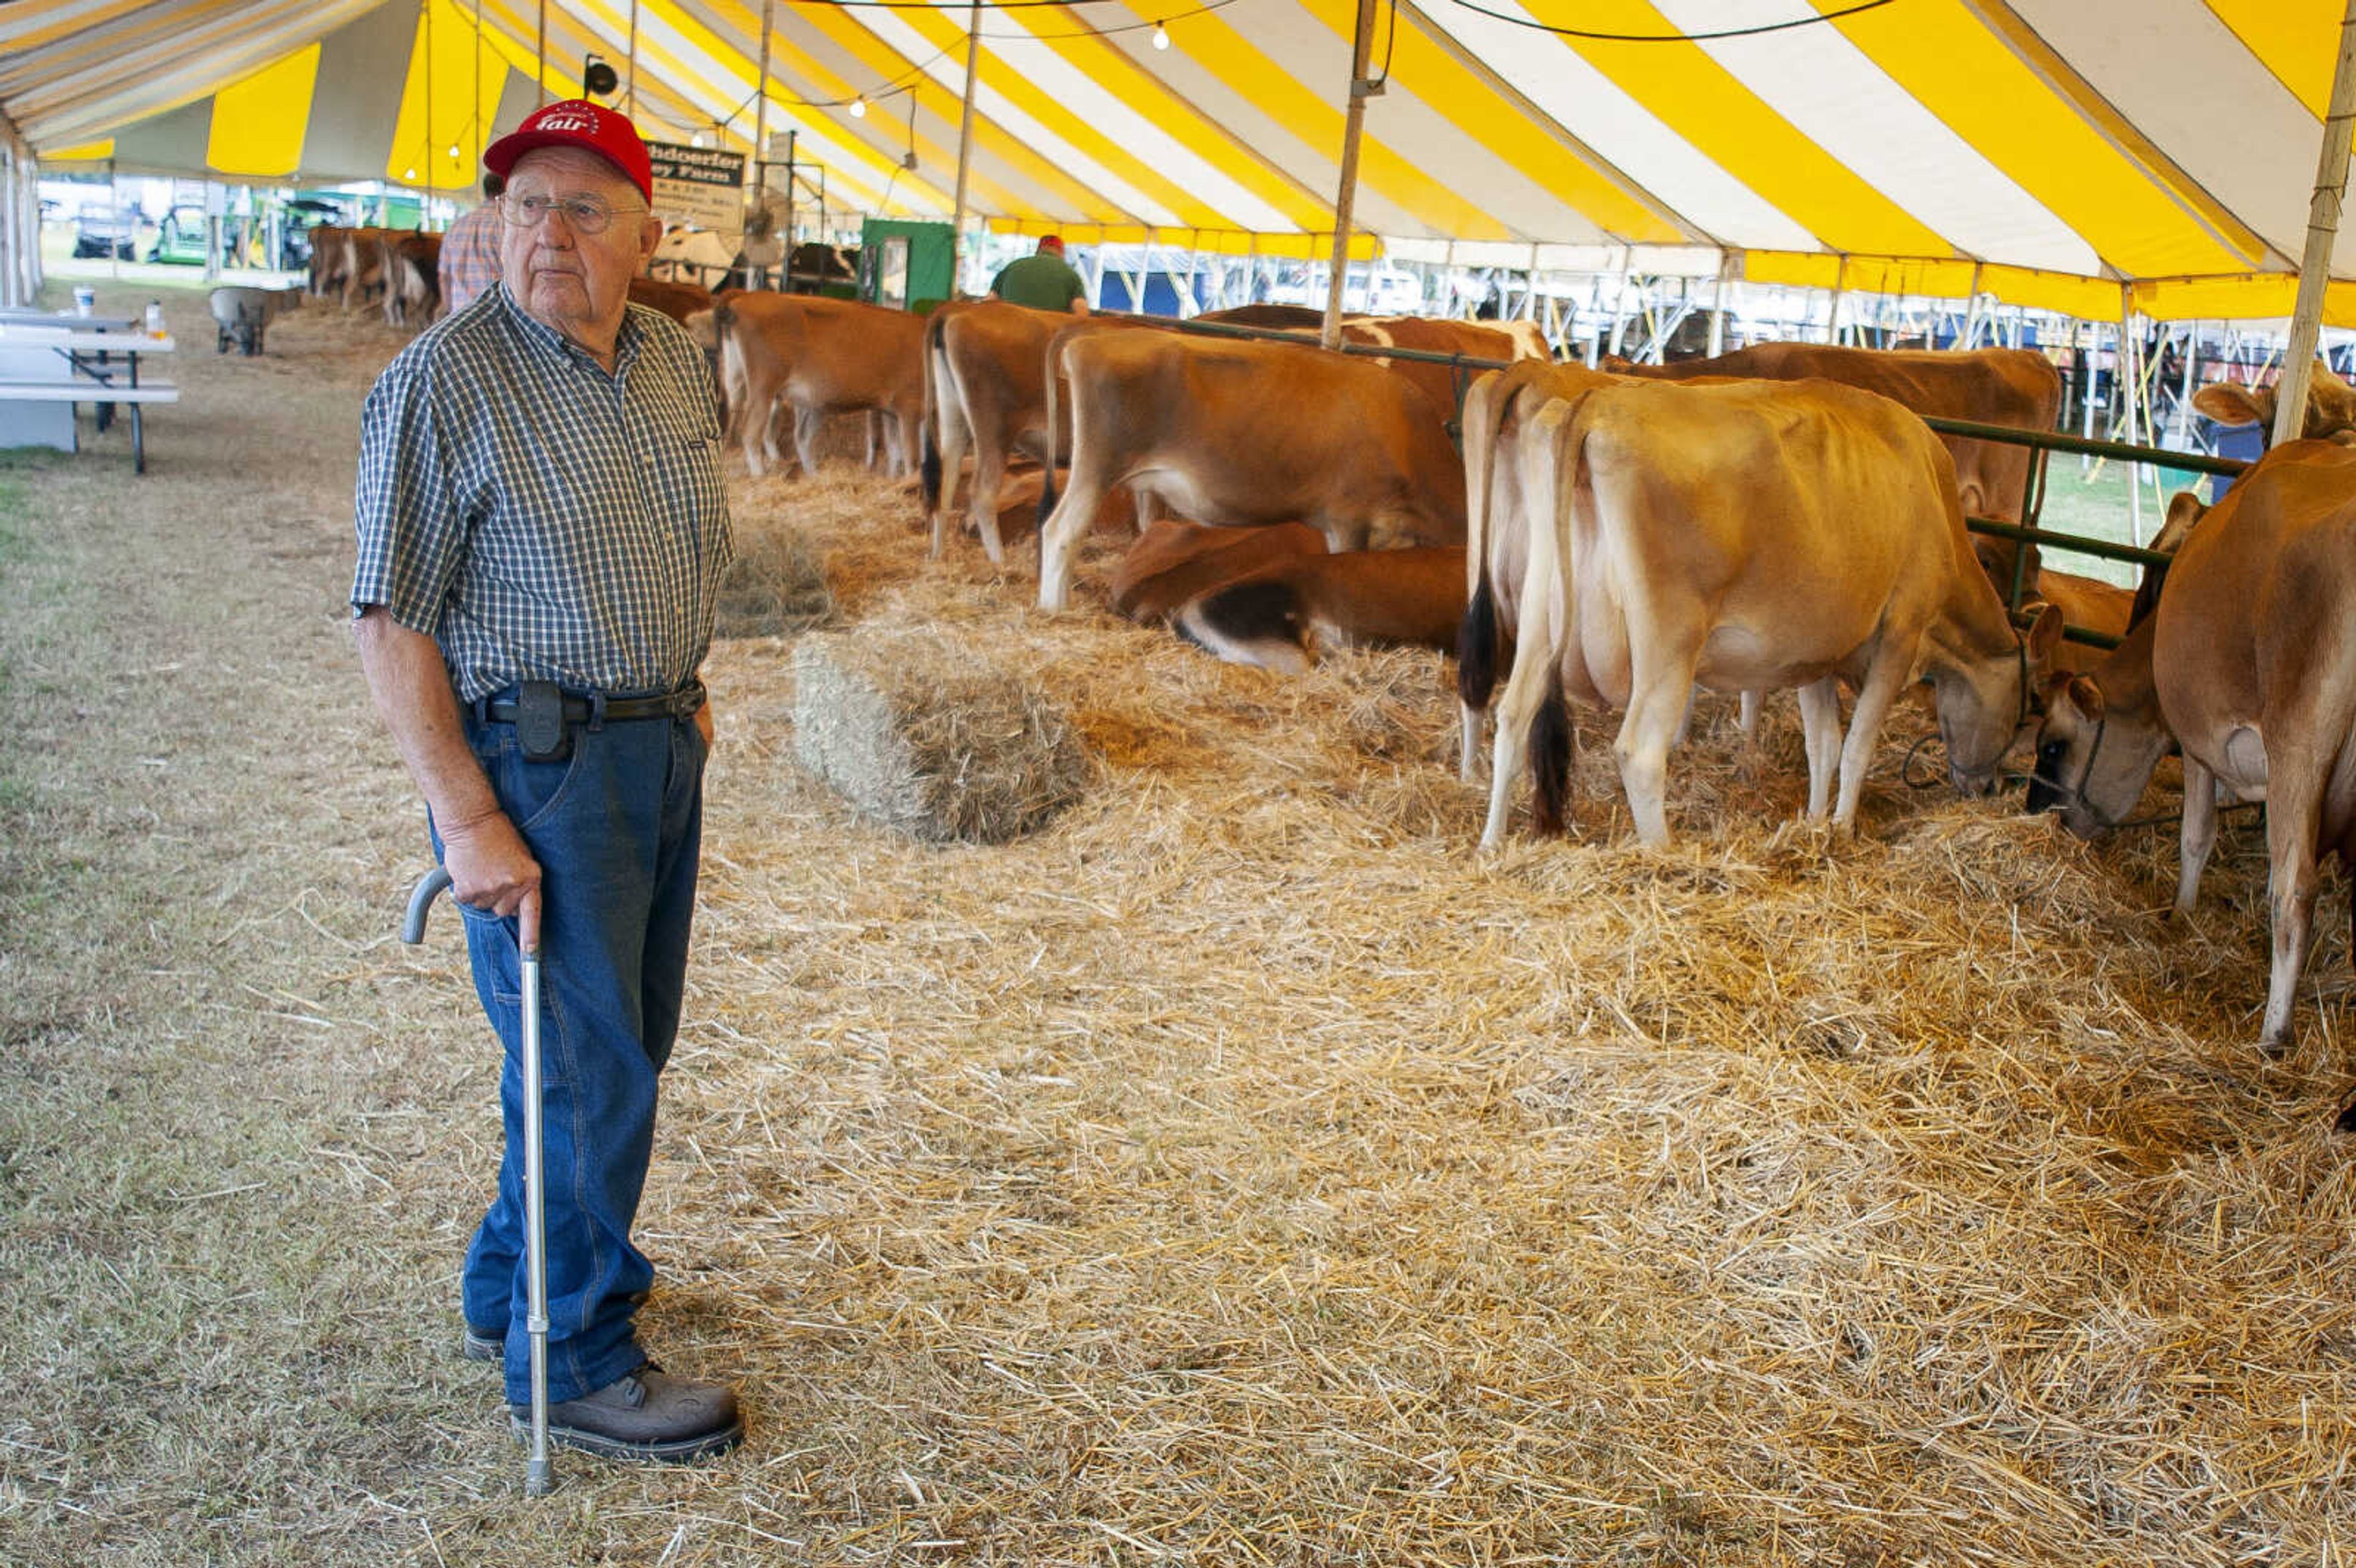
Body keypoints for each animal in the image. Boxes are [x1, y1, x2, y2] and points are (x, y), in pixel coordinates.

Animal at [1488, 374, 2063, 847]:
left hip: (1540, 609)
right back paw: (1663, 854)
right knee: (1640, 751)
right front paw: (1841, 831)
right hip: (1669, 644)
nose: (1987, 786)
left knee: (1514, 715)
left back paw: (1492, 847)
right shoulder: (1901, 631)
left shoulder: (1818, 652)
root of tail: (1596, 402)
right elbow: (1857, 746)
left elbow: (1823, 745)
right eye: (2030, 709)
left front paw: (1813, 823)